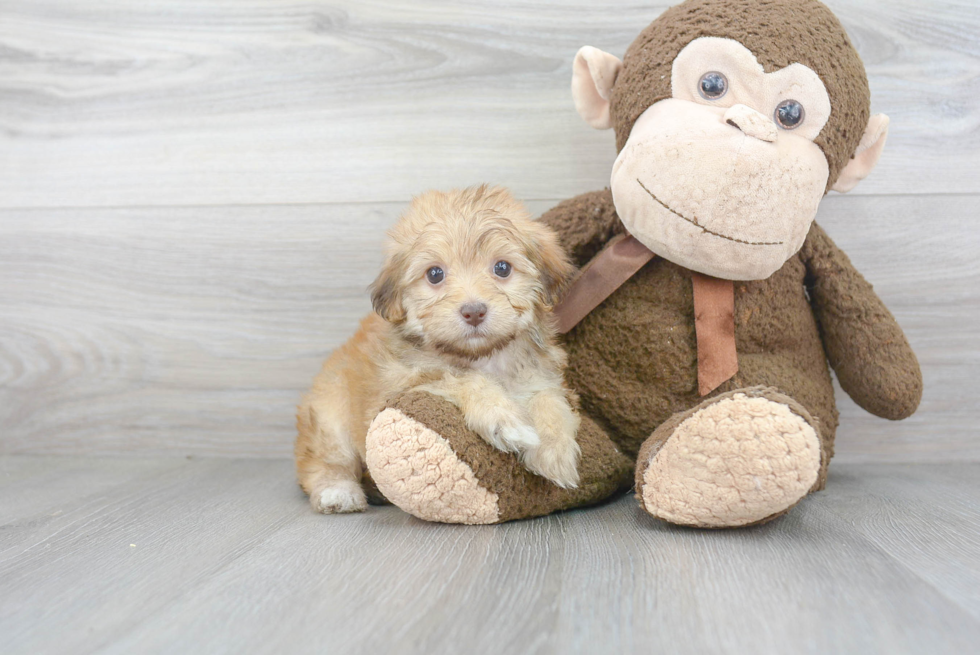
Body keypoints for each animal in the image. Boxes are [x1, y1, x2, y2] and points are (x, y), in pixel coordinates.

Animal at [290, 184, 580, 512]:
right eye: (435, 274)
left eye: (502, 268)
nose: (474, 311)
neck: (483, 356)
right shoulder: (403, 384)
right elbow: (461, 378)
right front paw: (504, 418)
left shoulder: (543, 376)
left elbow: (550, 399)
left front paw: (555, 451)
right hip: (329, 415)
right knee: (325, 460)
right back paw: (337, 491)